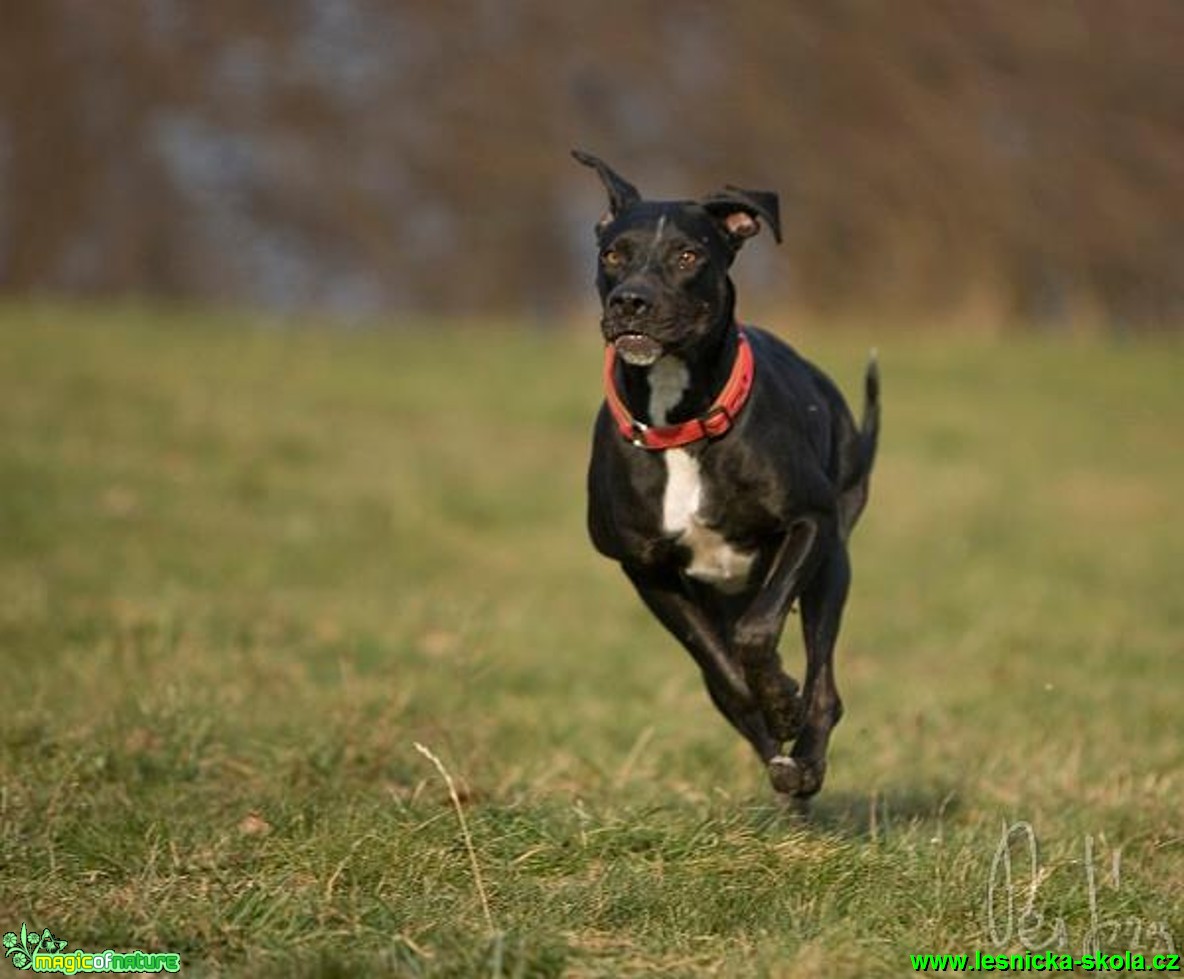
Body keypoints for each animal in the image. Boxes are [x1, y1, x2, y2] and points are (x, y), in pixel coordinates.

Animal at [573, 151, 880, 795]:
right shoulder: (645, 568)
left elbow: (757, 634)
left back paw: (805, 760)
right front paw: (772, 701)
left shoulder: (809, 523)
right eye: (613, 254)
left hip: (831, 564)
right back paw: (786, 767)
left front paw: (784, 701)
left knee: (826, 687)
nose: (631, 301)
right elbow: (724, 672)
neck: (679, 426)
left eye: (689, 255)